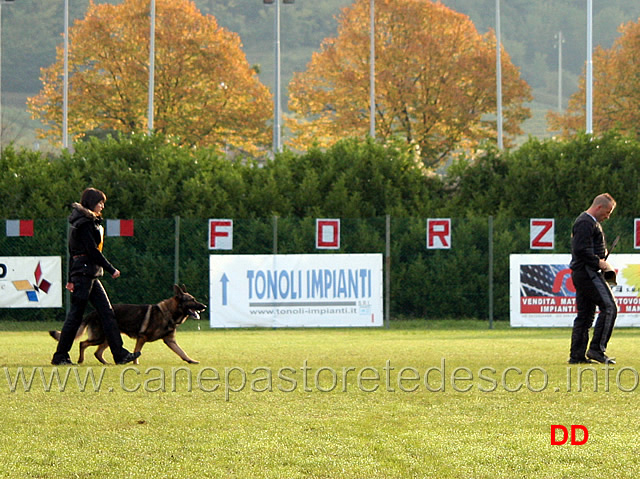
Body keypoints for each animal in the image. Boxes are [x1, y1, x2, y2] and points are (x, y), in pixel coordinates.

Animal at [50, 284, 205, 368]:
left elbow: (182, 352)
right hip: (100, 338)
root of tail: (92, 312)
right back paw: (81, 360)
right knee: (83, 343)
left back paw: (107, 363)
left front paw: (191, 361)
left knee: (97, 352)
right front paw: (135, 363)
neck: (169, 313)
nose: (204, 306)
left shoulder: (170, 341)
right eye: (192, 300)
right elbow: (137, 351)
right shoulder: (142, 338)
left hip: (108, 338)